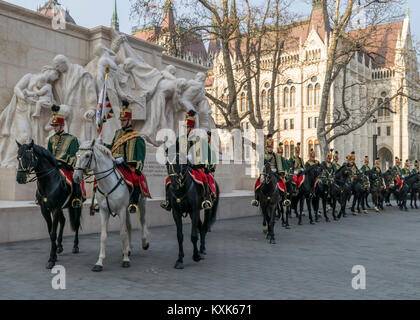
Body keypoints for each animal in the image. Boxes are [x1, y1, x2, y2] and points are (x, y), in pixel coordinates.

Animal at [74, 139, 149, 272]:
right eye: (77, 154)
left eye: (87, 155)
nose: (76, 177)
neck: (107, 183)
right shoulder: (104, 211)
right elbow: (103, 236)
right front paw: (99, 262)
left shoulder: (121, 210)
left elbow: (122, 233)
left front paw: (125, 260)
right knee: (129, 226)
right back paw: (128, 249)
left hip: (141, 202)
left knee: (142, 221)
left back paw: (144, 243)